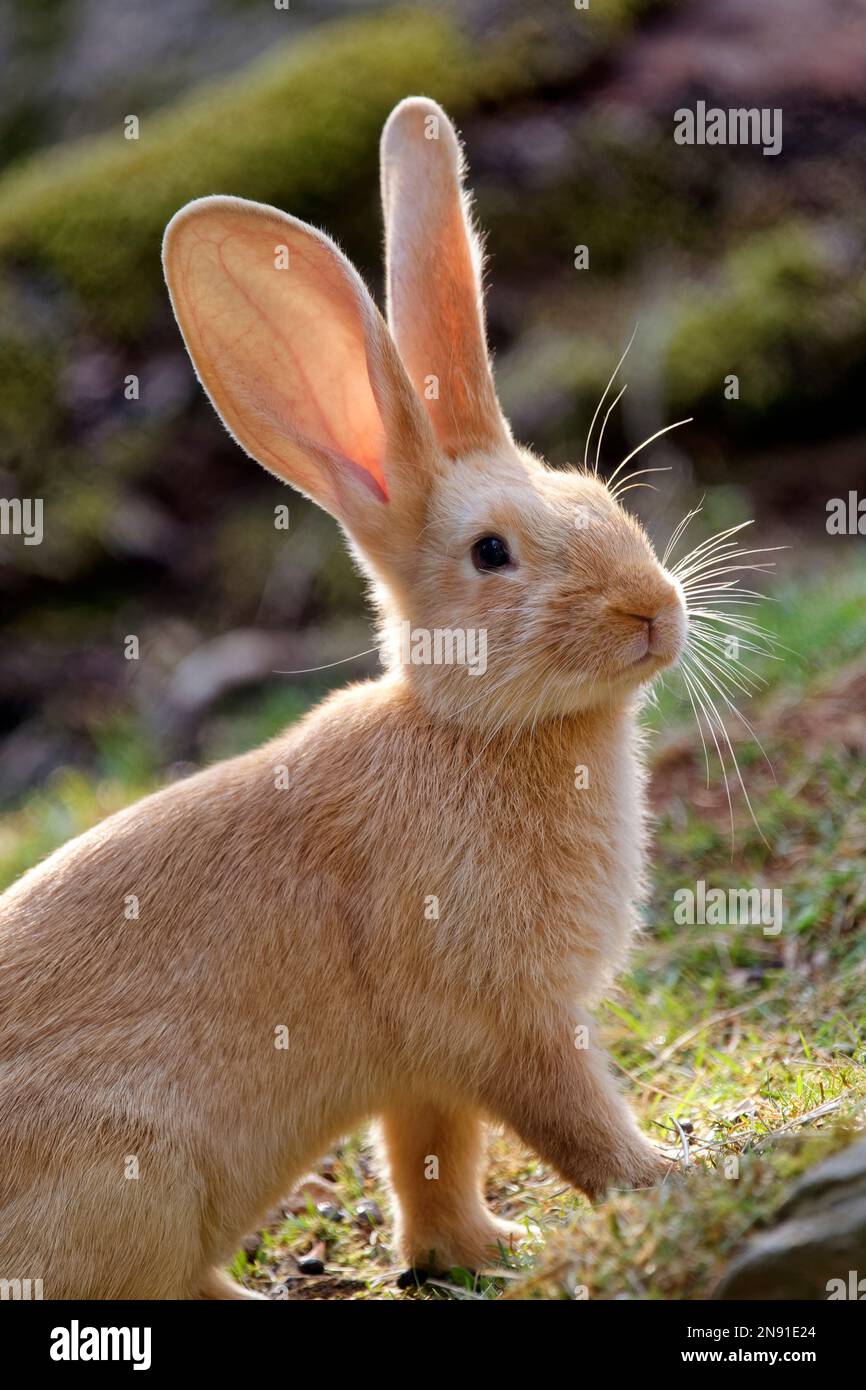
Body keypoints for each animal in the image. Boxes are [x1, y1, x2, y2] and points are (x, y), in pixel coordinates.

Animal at [0, 96, 686, 1300]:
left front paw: (482, 1251)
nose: (654, 609)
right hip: (134, 1177)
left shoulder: (426, 1070)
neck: (472, 729)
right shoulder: (500, 1020)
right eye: (492, 552)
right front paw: (664, 1179)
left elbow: (432, 1161)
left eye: (597, 497)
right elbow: (570, 1120)